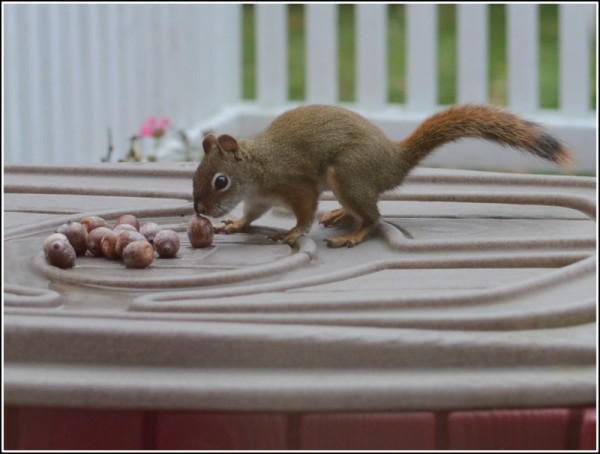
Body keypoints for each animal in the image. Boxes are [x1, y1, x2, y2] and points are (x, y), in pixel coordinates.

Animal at [193, 104, 572, 248]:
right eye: (196, 174)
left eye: (220, 181)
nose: (199, 210)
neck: (257, 168)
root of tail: (392, 161)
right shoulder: (257, 200)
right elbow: (249, 216)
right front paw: (235, 225)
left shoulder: (294, 184)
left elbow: (304, 211)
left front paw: (293, 232)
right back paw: (341, 214)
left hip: (346, 174)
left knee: (374, 218)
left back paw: (353, 233)